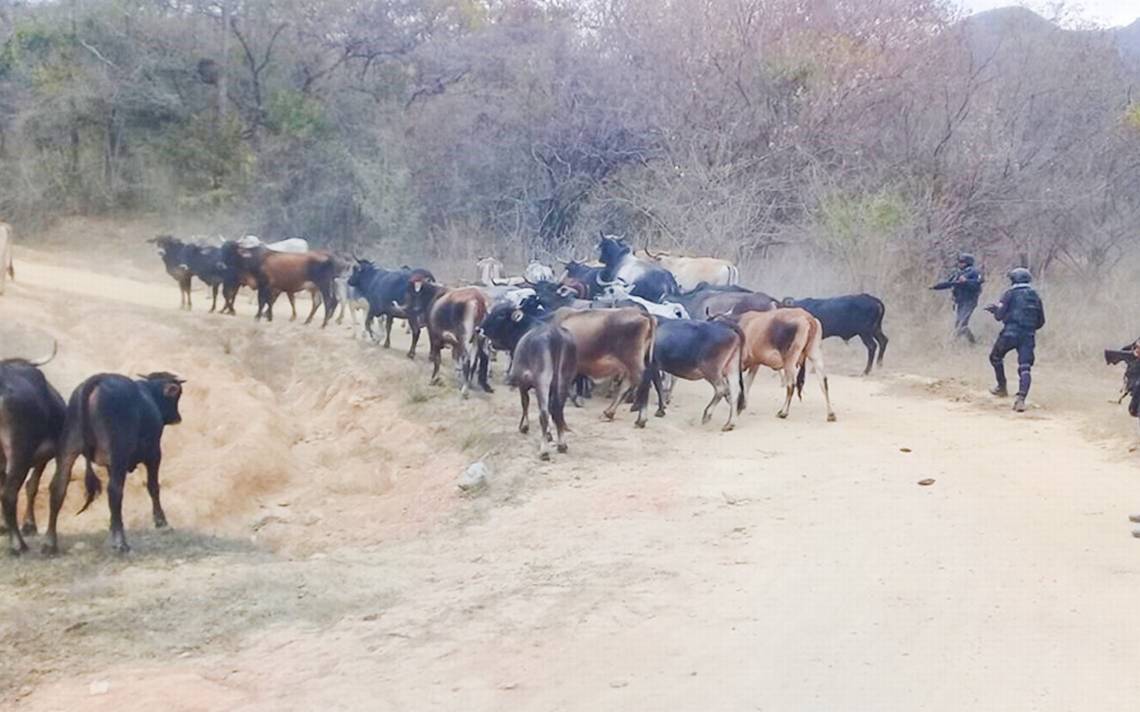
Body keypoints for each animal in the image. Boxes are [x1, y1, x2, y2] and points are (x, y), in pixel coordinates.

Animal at [0, 346, 64, 555]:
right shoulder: (49, 454)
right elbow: (36, 487)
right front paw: (29, 525)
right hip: (19, 454)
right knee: (9, 494)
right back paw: (18, 545)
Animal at [42, 371, 184, 555]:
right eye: (177, 395)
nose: (177, 418)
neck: (150, 394)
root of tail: (97, 380)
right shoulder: (154, 454)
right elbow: (153, 487)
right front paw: (162, 522)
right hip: (118, 454)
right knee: (115, 491)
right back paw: (120, 542)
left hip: (68, 448)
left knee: (58, 488)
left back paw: (49, 543)